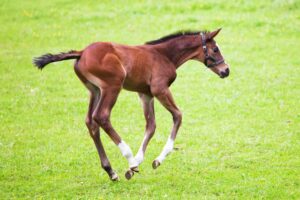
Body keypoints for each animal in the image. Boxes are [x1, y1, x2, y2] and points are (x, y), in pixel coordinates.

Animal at [32, 28, 230, 181]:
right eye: (215, 49)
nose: (226, 70)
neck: (164, 55)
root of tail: (81, 52)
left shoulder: (145, 94)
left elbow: (151, 126)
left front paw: (138, 162)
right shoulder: (160, 89)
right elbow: (178, 115)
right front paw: (153, 160)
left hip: (94, 90)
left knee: (90, 122)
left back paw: (111, 171)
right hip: (112, 86)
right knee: (101, 116)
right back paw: (128, 159)